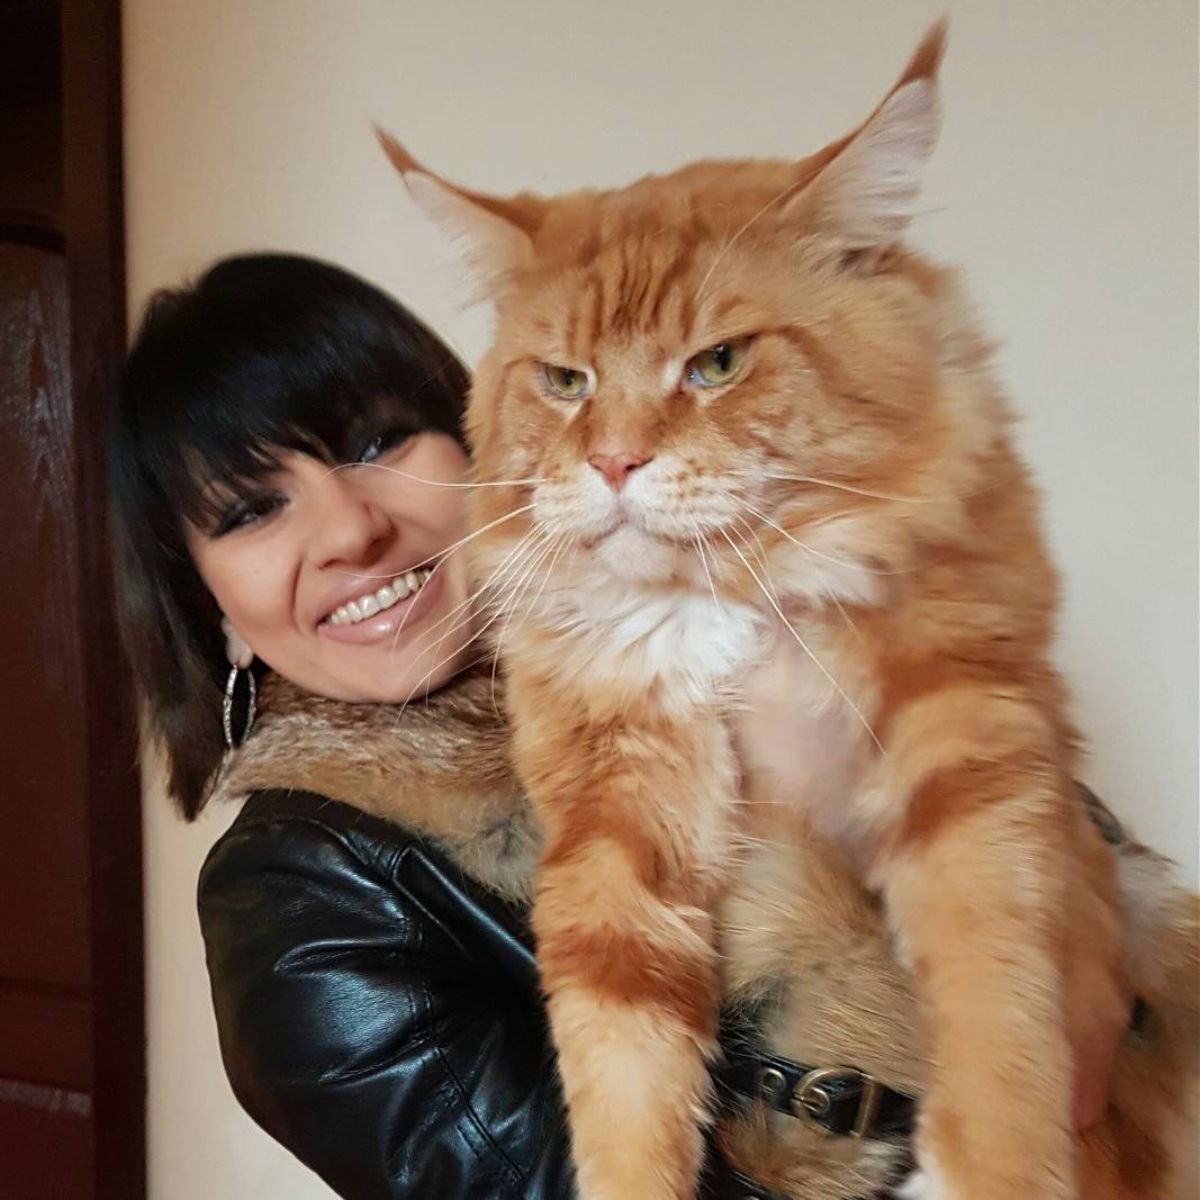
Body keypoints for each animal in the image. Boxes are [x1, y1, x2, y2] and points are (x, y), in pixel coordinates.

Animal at [381, 21, 1132, 1200]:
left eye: (718, 363)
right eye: (564, 380)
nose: (613, 461)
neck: (718, 602)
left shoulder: (973, 745)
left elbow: (998, 1018)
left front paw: (993, 1168)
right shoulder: (614, 813)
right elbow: (625, 1080)